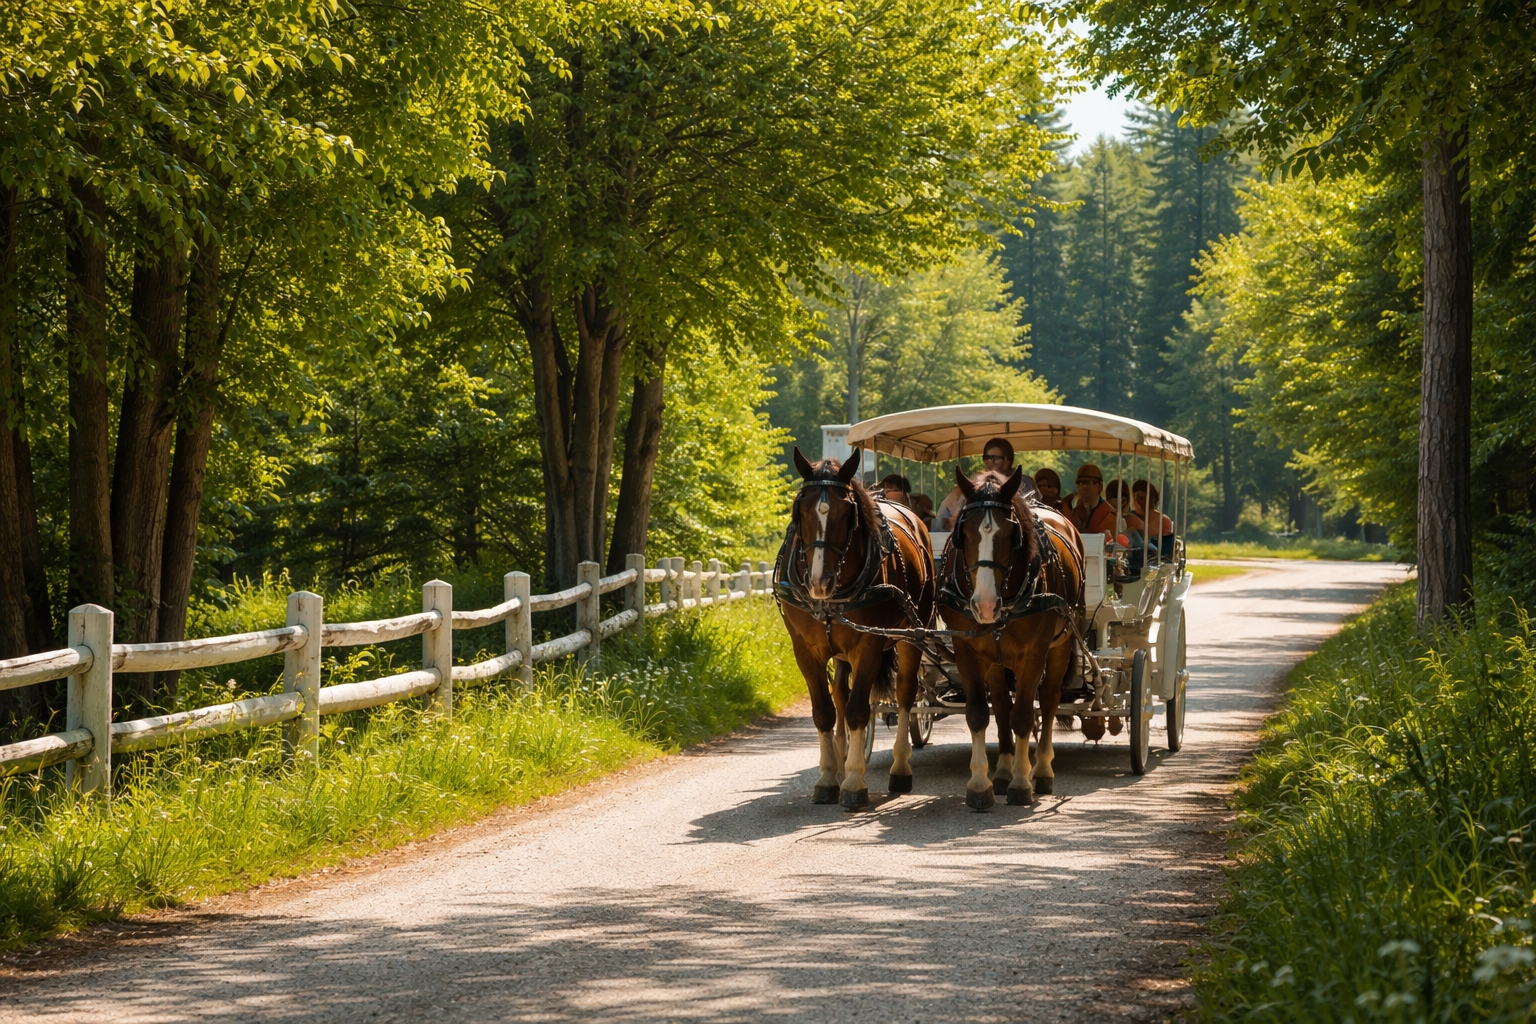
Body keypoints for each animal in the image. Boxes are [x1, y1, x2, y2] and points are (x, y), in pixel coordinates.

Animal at [775, 447, 936, 809]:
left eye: (847, 512)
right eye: (800, 508)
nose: (819, 582)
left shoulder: (869, 646)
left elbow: (859, 710)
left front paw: (853, 782)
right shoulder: (805, 649)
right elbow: (824, 711)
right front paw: (826, 778)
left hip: (912, 635)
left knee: (905, 694)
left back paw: (900, 767)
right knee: (840, 693)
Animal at [938, 466, 1086, 808]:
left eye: (1010, 535)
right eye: (964, 534)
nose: (984, 604)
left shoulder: (1034, 652)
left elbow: (1023, 716)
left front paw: (1022, 782)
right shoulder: (966, 648)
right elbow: (980, 713)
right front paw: (981, 785)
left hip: (1061, 645)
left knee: (1048, 699)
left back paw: (1041, 770)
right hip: (995, 657)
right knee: (1003, 704)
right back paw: (1003, 772)